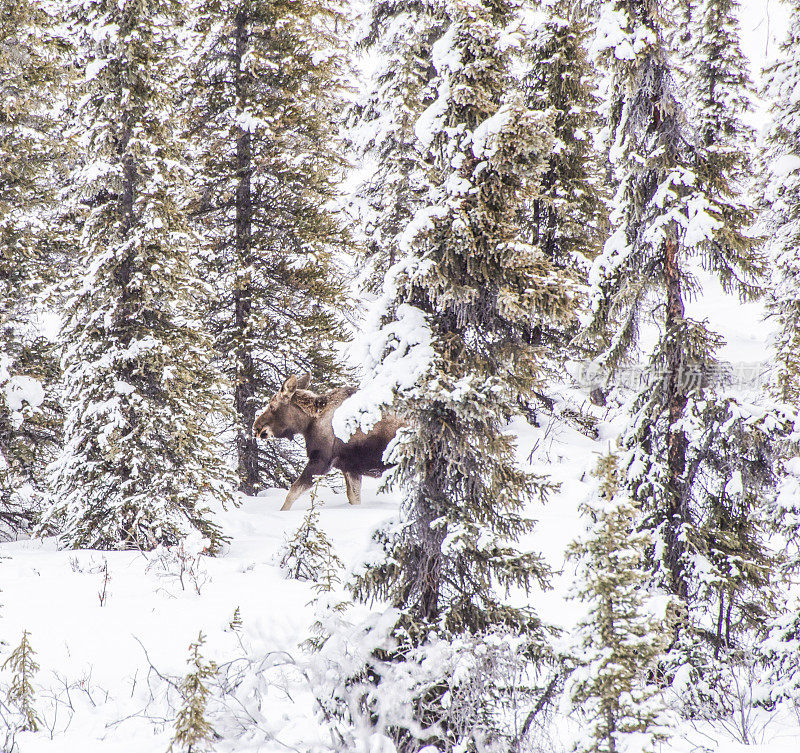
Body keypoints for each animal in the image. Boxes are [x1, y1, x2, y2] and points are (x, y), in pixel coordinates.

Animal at [253, 372, 404, 508]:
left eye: (272, 406)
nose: (256, 427)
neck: (308, 423)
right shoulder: (350, 467)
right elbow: (354, 497)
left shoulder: (321, 459)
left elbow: (292, 492)